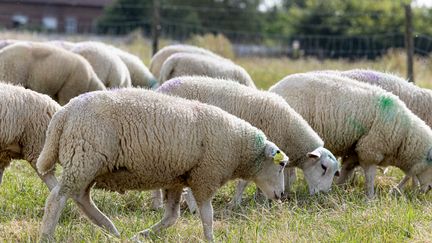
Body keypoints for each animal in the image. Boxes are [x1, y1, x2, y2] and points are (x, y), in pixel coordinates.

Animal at [36, 88, 286, 241]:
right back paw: (47, 236)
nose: (282, 195)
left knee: (81, 197)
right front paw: (210, 239)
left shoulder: (177, 179)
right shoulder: (205, 178)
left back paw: (111, 230)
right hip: (84, 159)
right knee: (57, 198)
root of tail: (64, 113)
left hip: (87, 163)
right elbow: (207, 216)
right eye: (282, 164)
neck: (239, 147)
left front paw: (142, 235)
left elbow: (172, 217)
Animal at [156, 77, 340, 210]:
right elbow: (243, 182)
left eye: (335, 172)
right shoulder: (253, 151)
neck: (289, 131)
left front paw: (260, 199)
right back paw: (159, 205)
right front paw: (235, 203)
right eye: (323, 167)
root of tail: (161, 87)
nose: (324, 194)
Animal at [272, 73, 432, 198]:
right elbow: (370, 176)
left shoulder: (355, 151)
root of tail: (274, 88)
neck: (404, 137)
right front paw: (371, 198)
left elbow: (346, 170)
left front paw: (338, 189)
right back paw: (287, 190)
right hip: (291, 135)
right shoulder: (370, 150)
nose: (429, 189)